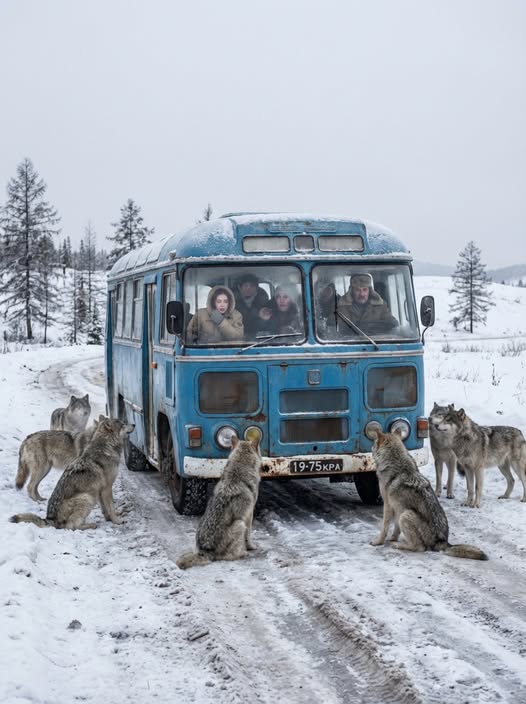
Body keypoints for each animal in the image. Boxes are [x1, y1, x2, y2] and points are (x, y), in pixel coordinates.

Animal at [176, 435, 262, 569]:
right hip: (240, 524)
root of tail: (205, 551)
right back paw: (242, 553)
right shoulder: (248, 515)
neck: (239, 469)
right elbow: (249, 536)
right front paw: (251, 547)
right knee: (227, 556)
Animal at [370, 428, 487, 560]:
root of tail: (443, 542)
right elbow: (395, 528)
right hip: (403, 514)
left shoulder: (388, 505)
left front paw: (378, 542)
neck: (396, 463)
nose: (370, 449)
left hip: (406, 514)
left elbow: (384, 527)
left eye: (374, 444)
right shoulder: (397, 507)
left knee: (420, 547)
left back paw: (398, 545)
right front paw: (392, 538)